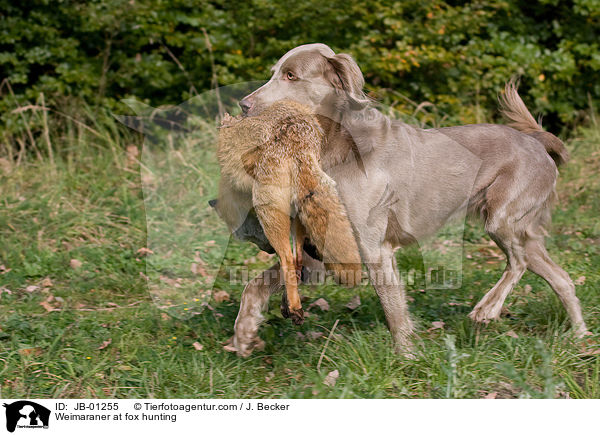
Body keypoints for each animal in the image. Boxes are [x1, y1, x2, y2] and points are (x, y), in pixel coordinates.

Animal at [211, 99, 360, 324]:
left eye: (247, 237)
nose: (267, 251)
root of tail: (296, 144)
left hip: (272, 218)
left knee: (288, 260)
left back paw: (295, 308)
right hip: (296, 215)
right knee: (297, 260)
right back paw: (291, 306)